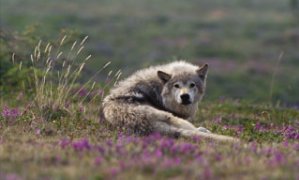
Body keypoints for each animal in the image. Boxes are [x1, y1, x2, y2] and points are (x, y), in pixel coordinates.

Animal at [103, 61, 239, 141]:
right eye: (176, 85)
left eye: (192, 85)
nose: (185, 96)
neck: (157, 90)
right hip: (176, 120)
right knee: (195, 130)